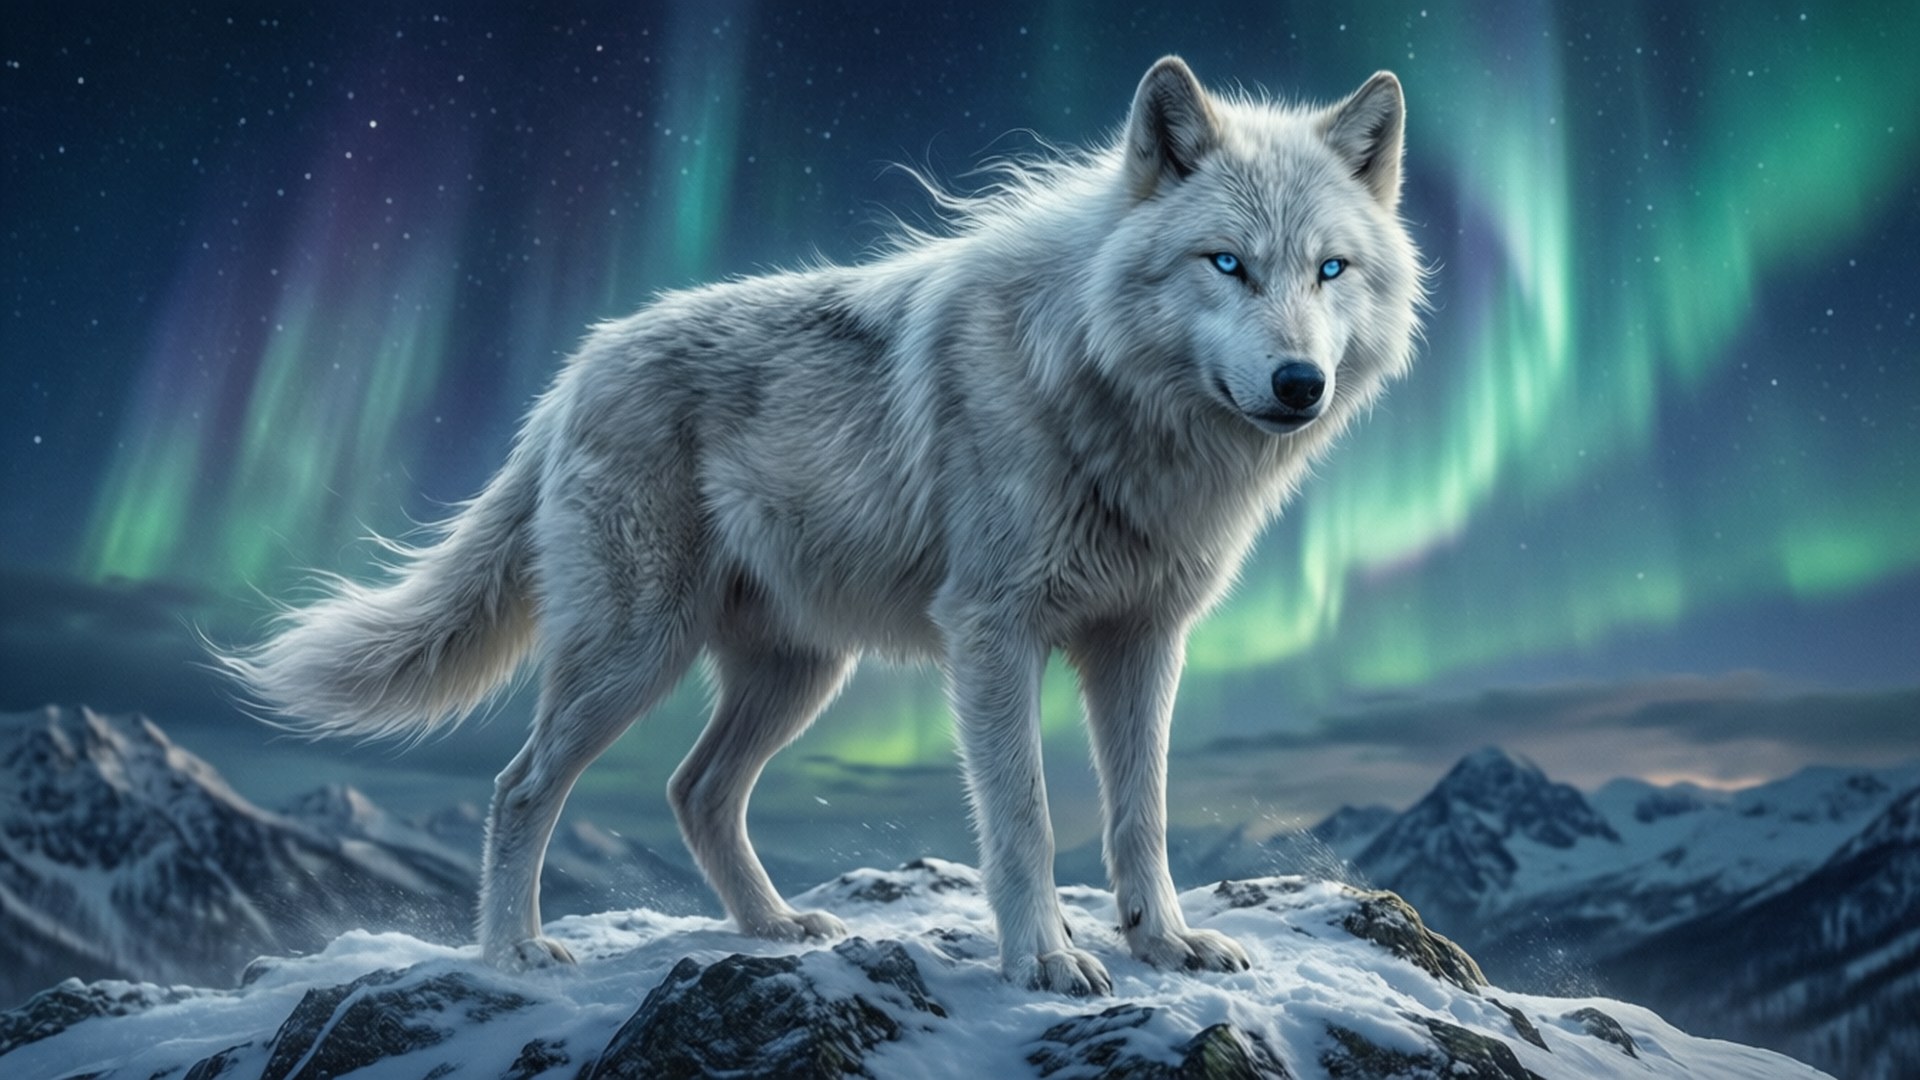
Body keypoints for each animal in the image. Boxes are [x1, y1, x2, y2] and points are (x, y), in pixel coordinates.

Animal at [219, 56, 1423, 995]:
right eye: (1227, 263)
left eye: (1330, 269)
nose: (1300, 383)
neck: (1106, 400)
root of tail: (572, 372)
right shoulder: (995, 636)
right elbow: (1027, 819)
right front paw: (1044, 961)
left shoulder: (1144, 642)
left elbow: (1144, 815)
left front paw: (1164, 945)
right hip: (635, 654)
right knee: (523, 788)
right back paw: (513, 953)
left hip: (801, 672)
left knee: (695, 790)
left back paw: (772, 929)